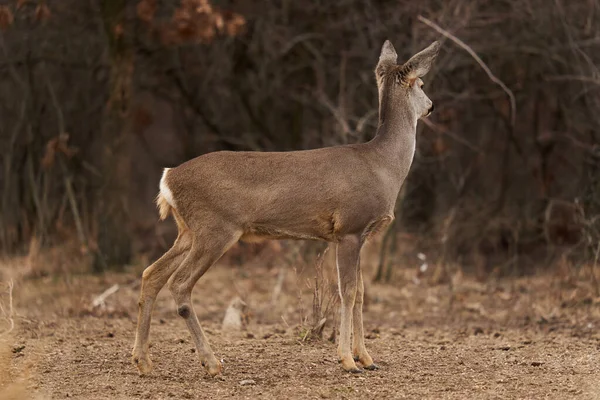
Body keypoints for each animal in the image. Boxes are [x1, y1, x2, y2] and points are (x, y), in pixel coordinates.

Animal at [131, 37, 440, 376]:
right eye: (421, 83)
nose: (431, 105)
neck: (383, 165)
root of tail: (168, 178)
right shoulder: (349, 227)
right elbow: (347, 292)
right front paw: (348, 361)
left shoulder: (360, 235)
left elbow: (360, 292)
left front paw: (367, 359)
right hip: (216, 228)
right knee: (180, 284)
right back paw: (211, 362)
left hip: (188, 231)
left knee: (151, 274)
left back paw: (143, 361)